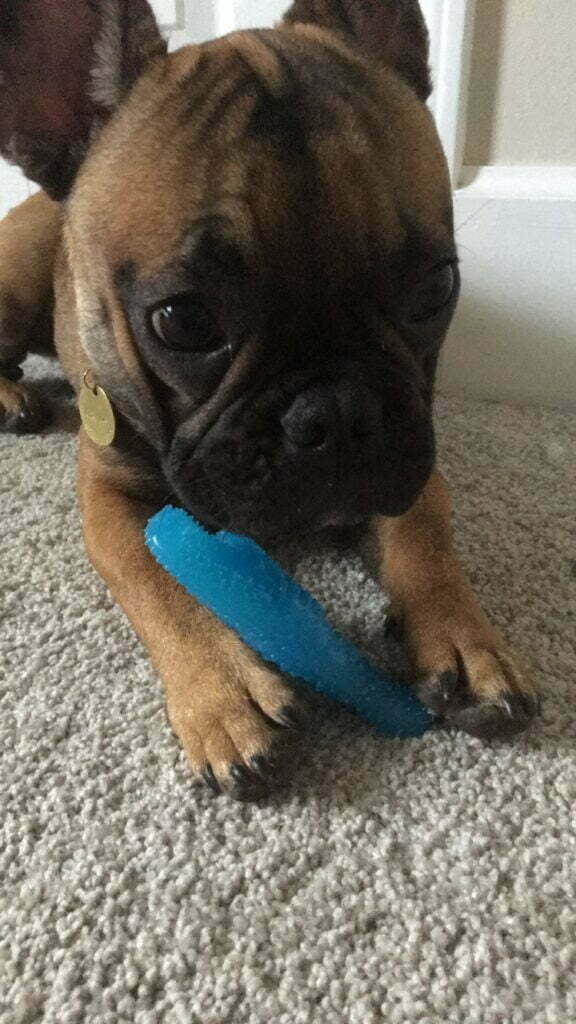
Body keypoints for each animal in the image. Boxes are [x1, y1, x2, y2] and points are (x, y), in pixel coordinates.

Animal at [1, 0, 537, 798]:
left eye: (435, 288)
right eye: (184, 321)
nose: (337, 412)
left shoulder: (413, 458)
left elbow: (425, 538)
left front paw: (466, 641)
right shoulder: (111, 500)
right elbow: (162, 582)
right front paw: (226, 693)